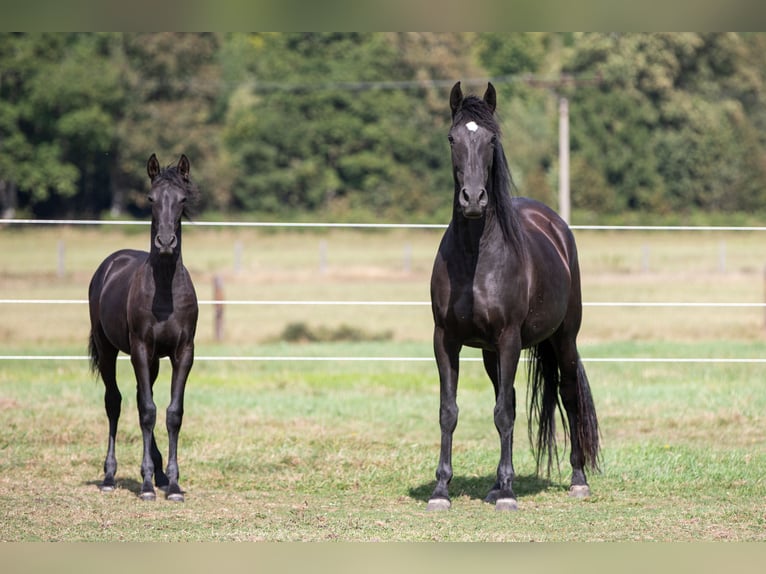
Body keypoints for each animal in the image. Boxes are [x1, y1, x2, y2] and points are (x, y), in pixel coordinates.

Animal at [88, 155, 200, 502]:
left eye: (182, 199)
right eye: (151, 199)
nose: (165, 242)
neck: (164, 290)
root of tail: (110, 264)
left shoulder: (183, 352)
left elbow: (173, 412)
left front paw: (173, 484)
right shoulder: (139, 348)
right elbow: (147, 410)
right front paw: (147, 485)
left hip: (152, 361)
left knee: (140, 398)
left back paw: (159, 473)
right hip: (109, 349)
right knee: (115, 402)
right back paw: (110, 477)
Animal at [428, 82, 604, 512]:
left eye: (491, 140)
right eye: (452, 138)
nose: (473, 199)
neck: (476, 257)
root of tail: (555, 225)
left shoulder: (509, 338)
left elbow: (505, 414)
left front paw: (508, 493)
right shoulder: (446, 340)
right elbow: (449, 411)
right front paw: (441, 490)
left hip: (564, 339)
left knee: (568, 396)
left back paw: (577, 480)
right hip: (492, 354)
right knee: (503, 395)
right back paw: (493, 484)